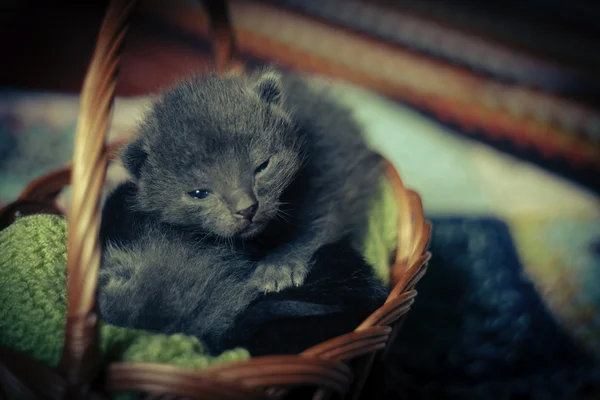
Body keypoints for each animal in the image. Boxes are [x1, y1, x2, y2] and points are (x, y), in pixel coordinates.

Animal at [114, 68, 382, 294]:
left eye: (262, 166)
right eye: (199, 193)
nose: (247, 209)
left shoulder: (329, 184)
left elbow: (315, 228)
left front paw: (278, 266)